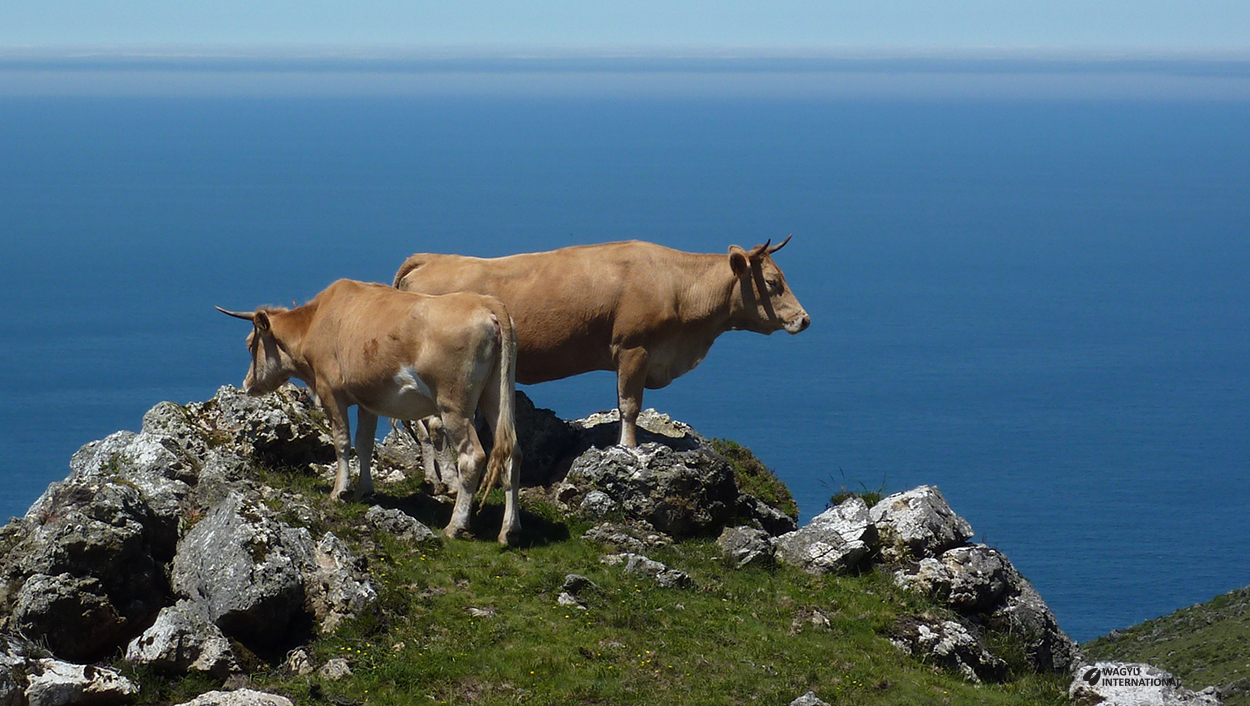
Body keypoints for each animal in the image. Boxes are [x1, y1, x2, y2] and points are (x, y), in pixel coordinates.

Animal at [217, 278, 520, 542]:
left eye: (250, 344)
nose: (247, 384)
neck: (315, 322)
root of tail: (488, 303)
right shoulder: (368, 400)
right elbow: (363, 444)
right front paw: (364, 490)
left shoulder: (331, 392)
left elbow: (342, 442)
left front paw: (340, 491)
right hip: (496, 395)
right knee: (512, 451)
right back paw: (509, 530)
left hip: (453, 404)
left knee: (473, 456)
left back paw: (455, 526)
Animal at [395, 236, 815, 444]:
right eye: (773, 283)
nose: (805, 319)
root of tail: (429, 258)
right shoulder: (634, 348)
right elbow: (629, 405)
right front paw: (629, 447)